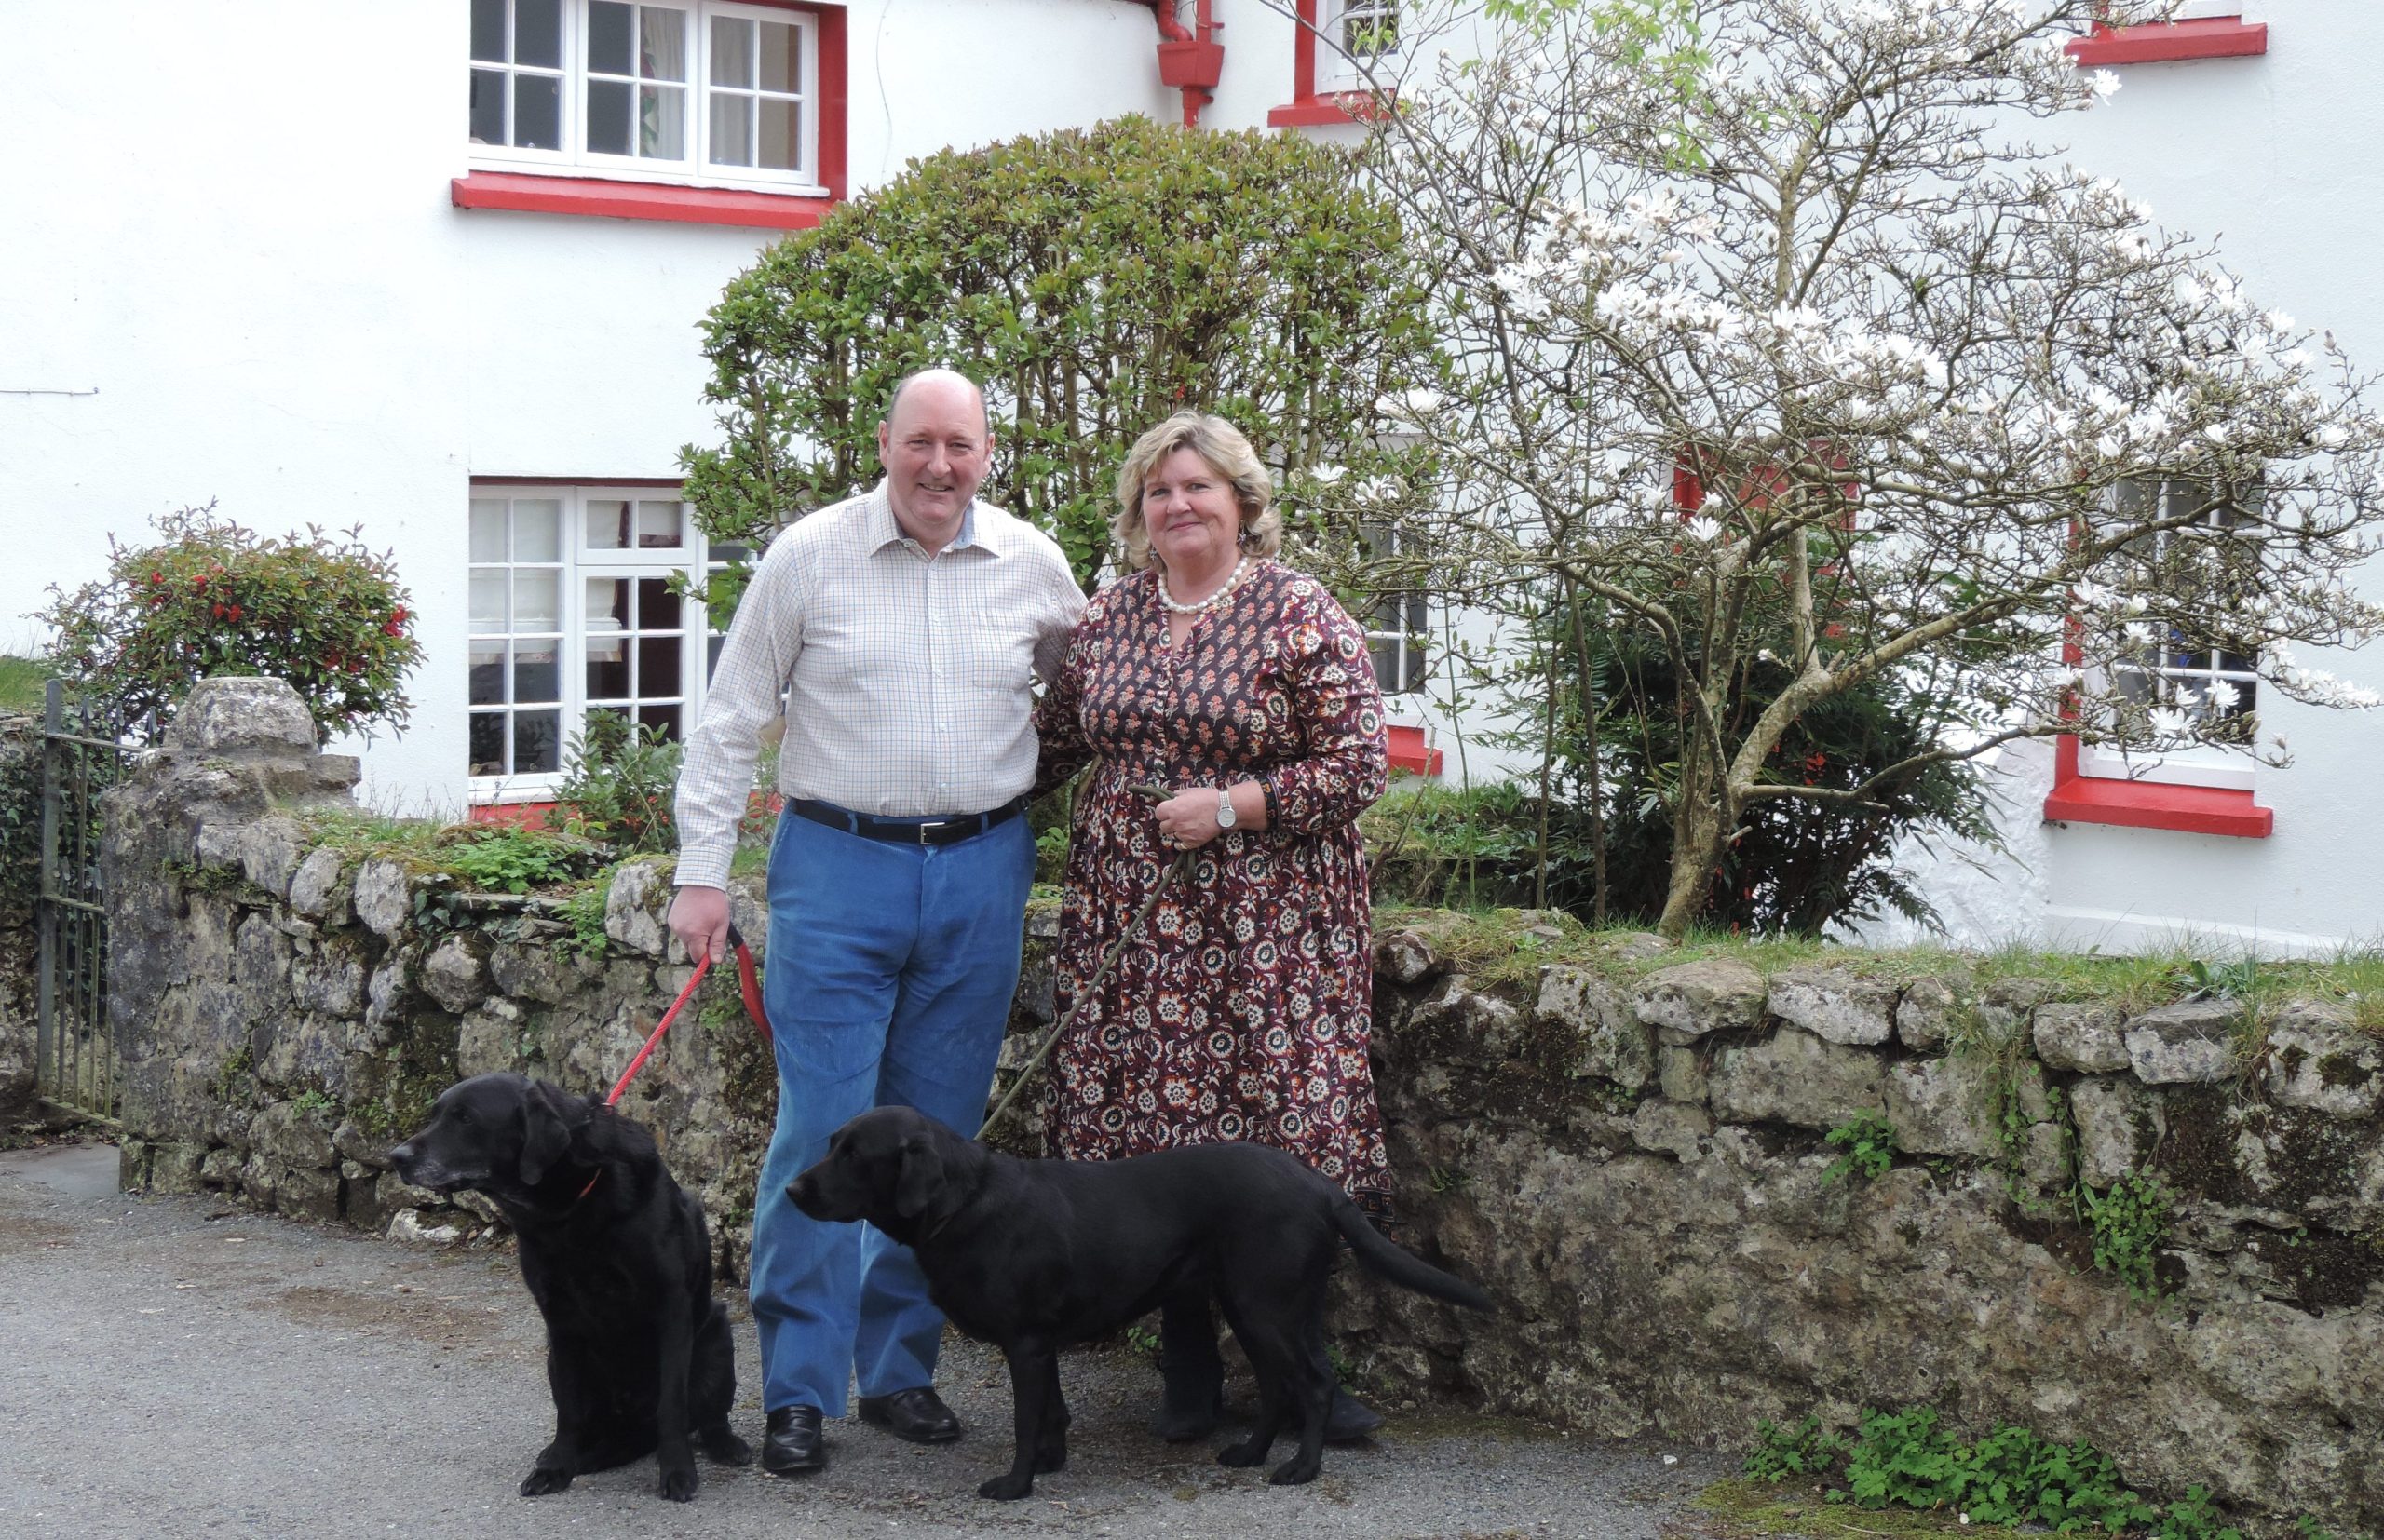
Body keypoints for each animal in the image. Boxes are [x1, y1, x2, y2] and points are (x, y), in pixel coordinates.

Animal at [388, 1082, 752, 1506]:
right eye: (435, 1115)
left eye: (466, 1118)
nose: (396, 1157)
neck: (568, 1208)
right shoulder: (559, 1321)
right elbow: (569, 1411)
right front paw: (555, 1468)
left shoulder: (671, 1310)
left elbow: (672, 1405)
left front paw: (678, 1471)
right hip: (557, 1360)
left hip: (717, 1337)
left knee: (708, 1417)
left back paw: (726, 1445)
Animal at [781, 1111, 1487, 1506]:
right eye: (833, 1143)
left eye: (855, 1155)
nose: (791, 1188)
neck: (965, 1201)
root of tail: (1322, 1185)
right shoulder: (1041, 1343)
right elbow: (1052, 1414)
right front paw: (1049, 1464)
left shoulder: (1025, 1342)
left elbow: (1026, 1421)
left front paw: (1015, 1486)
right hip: (1248, 1308)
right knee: (1276, 1387)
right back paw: (1249, 1454)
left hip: (1269, 1309)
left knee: (1313, 1385)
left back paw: (1301, 1469)